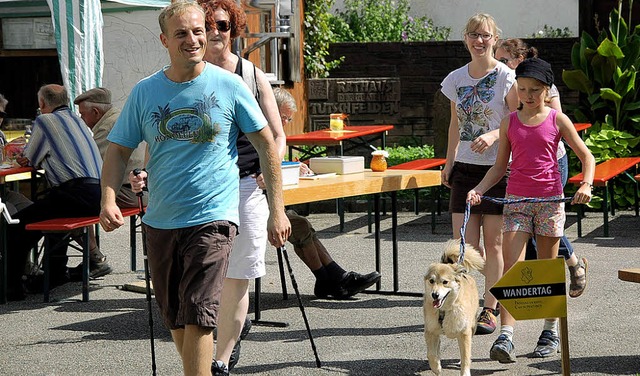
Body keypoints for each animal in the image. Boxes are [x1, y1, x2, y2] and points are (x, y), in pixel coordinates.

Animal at [424, 239, 484, 376]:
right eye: (431, 281)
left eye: (445, 282)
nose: (434, 295)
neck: (444, 310)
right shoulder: (430, 331)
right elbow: (431, 354)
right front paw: (436, 367)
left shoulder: (464, 333)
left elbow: (466, 357)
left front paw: (465, 372)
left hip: (472, 325)